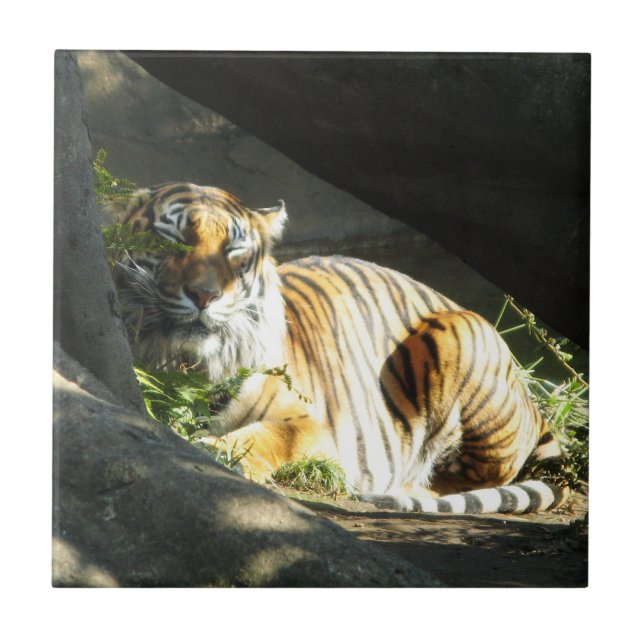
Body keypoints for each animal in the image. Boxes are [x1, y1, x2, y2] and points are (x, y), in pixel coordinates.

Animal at [105, 182, 568, 514]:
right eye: (173, 240)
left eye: (234, 250)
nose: (205, 295)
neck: (188, 366)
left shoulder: (311, 424)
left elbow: (270, 435)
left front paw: (217, 451)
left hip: (461, 339)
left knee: (479, 475)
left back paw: (404, 488)